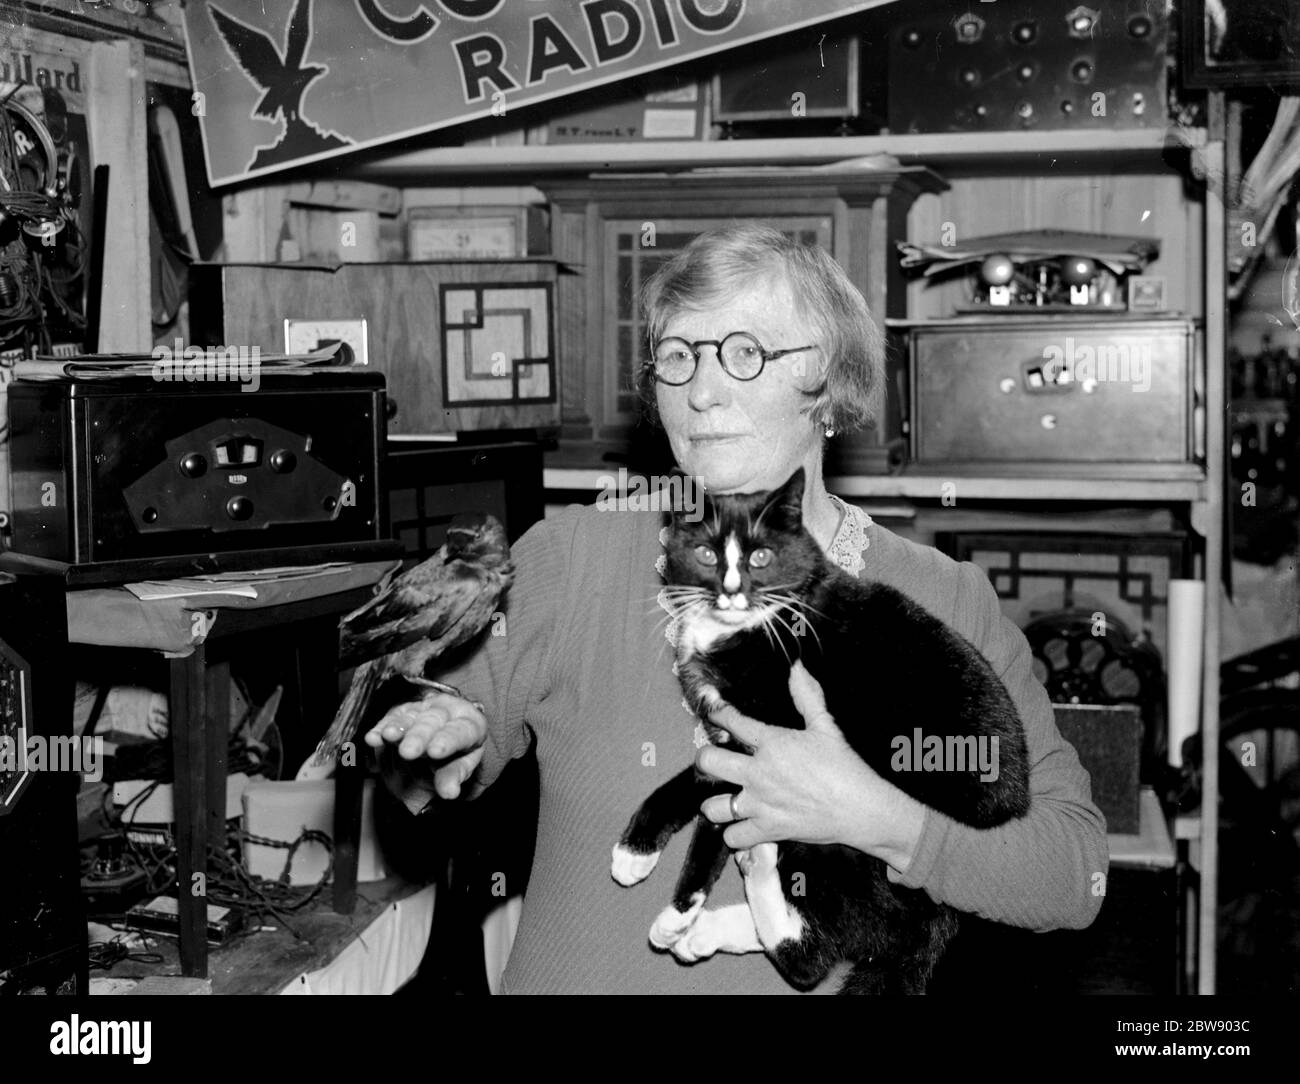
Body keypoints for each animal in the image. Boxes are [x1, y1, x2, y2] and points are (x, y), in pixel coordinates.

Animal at [613, 467, 1029, 993]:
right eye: (706, 554)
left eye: (761, 556)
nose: (730, 590)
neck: (749, 625)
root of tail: (943, 919)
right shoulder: (729, 736)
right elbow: (694, 790)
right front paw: (655, 879)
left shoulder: (767, 737)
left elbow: (709, 809)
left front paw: (659, 883)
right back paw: (705, 930)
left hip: (846, 846)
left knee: (819, 953)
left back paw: (750, 878)